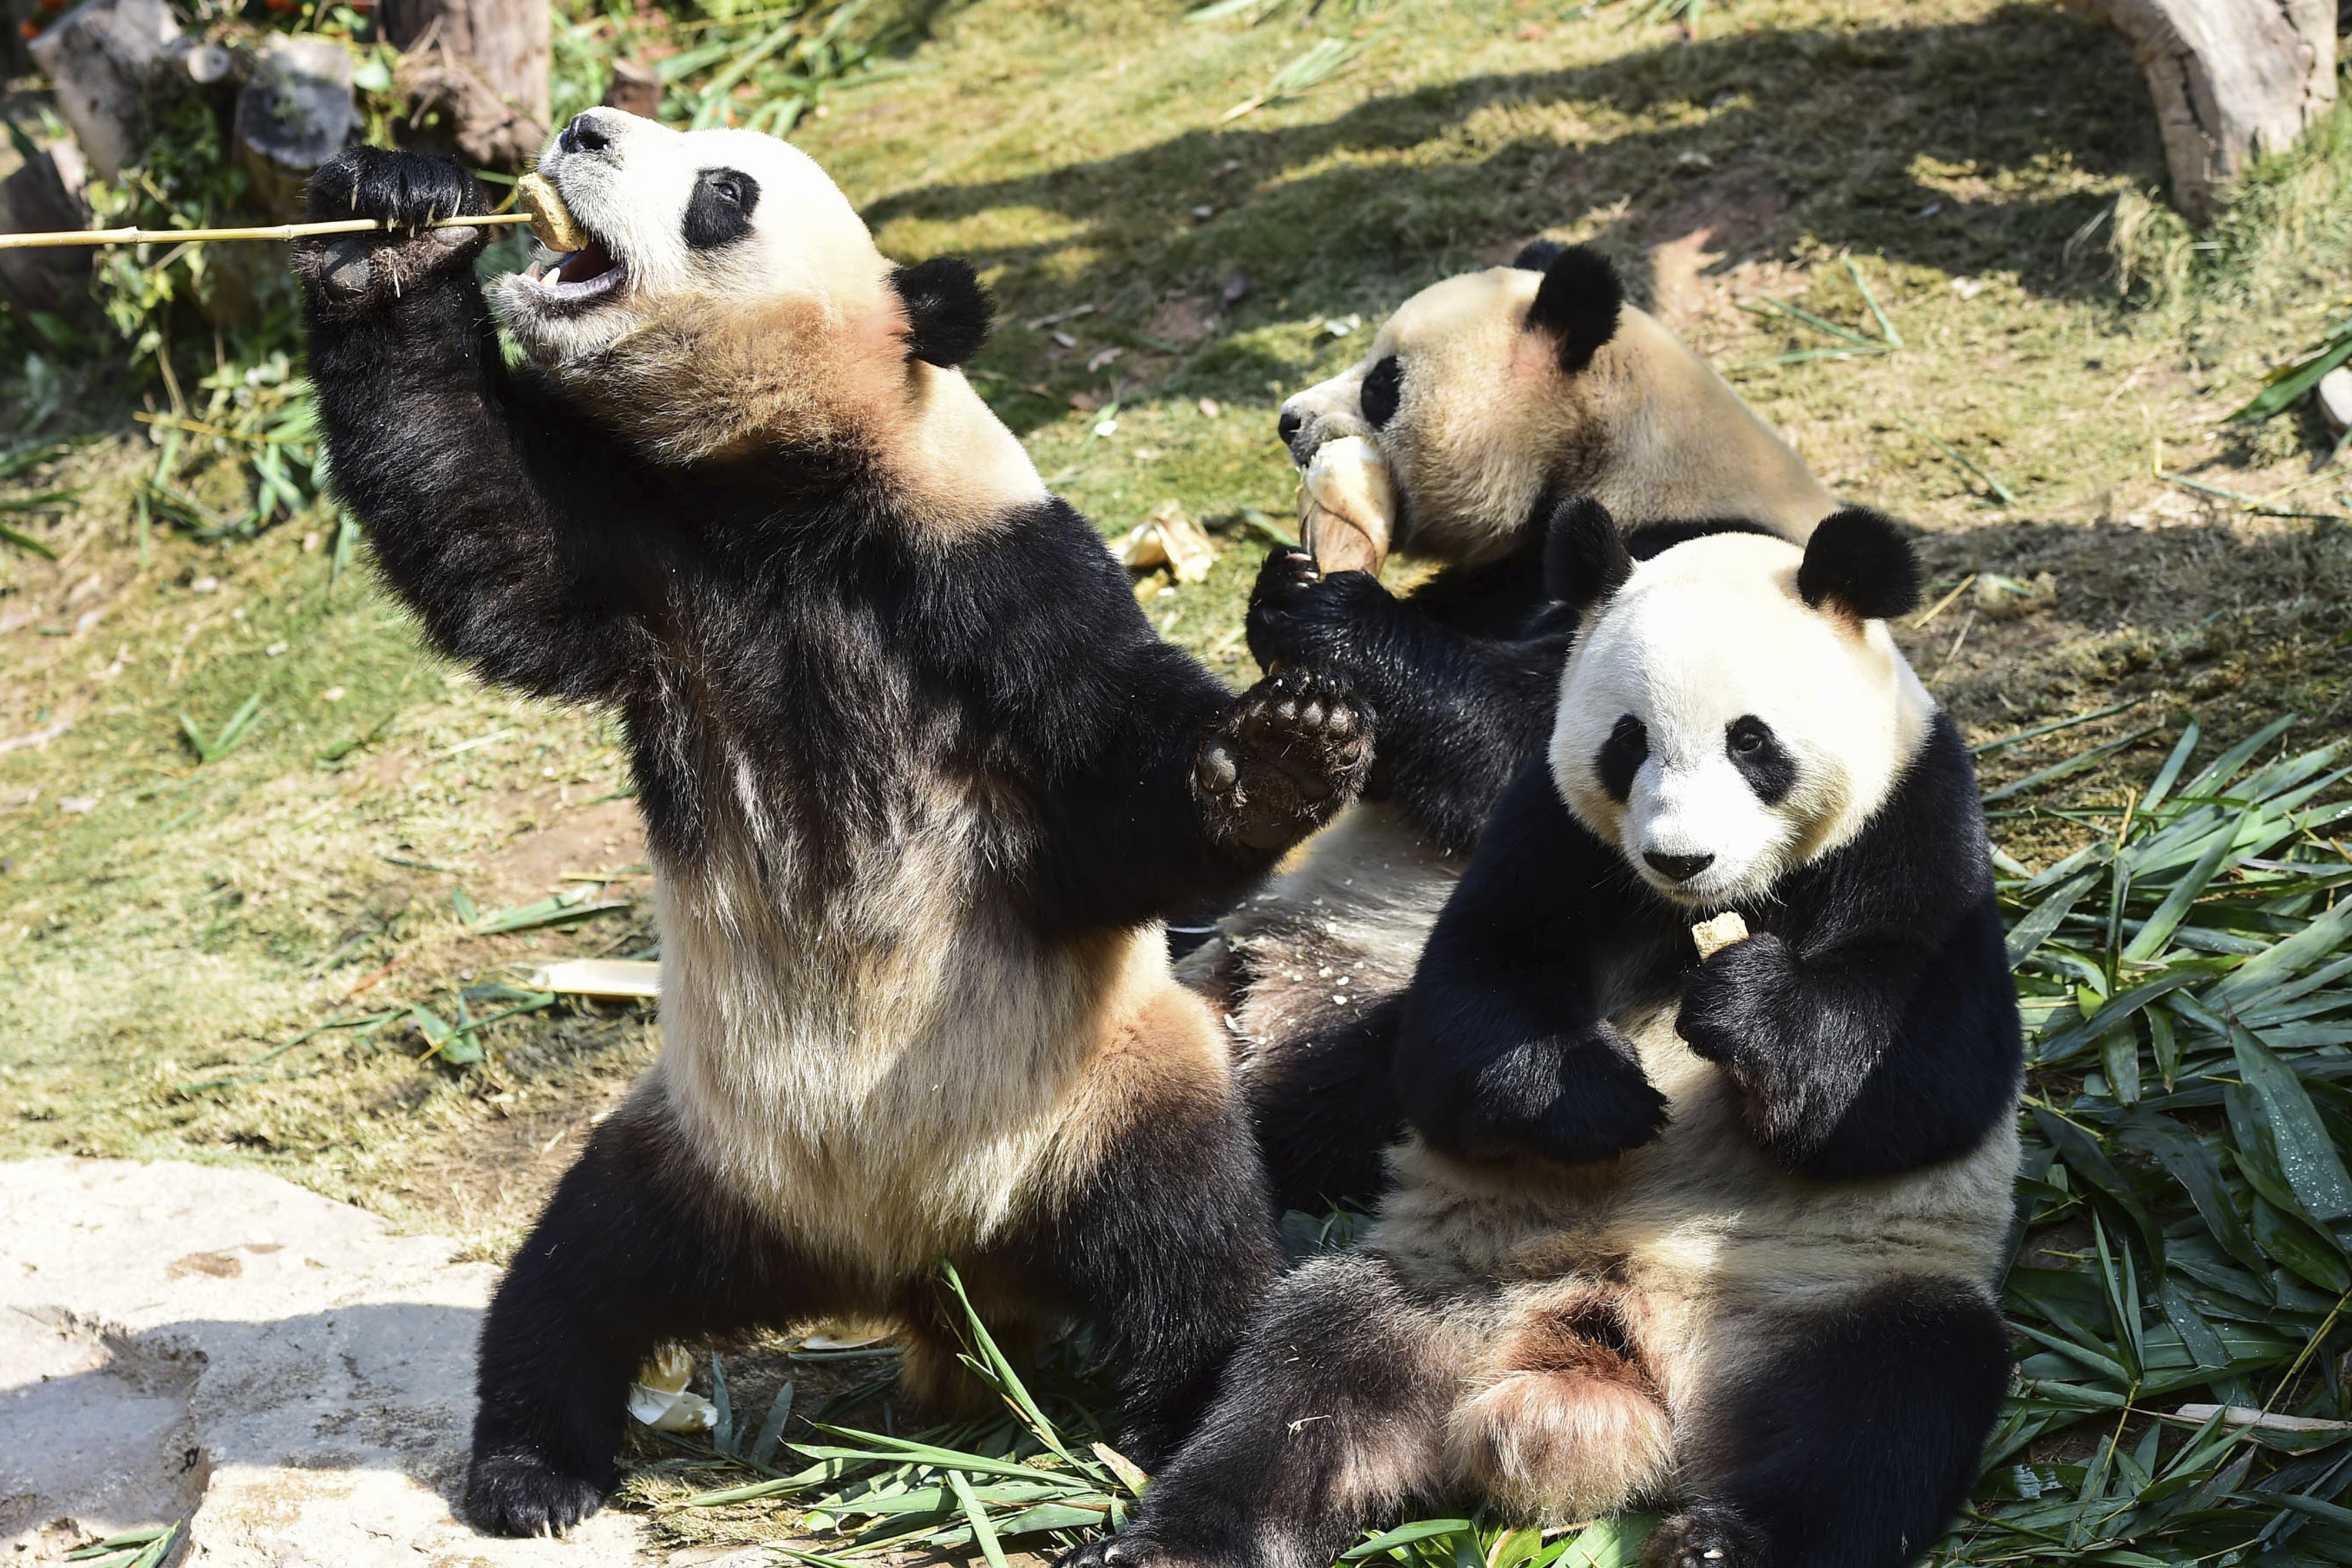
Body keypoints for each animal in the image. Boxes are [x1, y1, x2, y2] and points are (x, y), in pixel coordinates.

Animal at [292, 114, 1373, 1538]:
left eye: (722, 191)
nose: (581, 129)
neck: (797, 490)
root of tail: (920, 1269)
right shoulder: (652, 564)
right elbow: (477, 518)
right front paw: (395, 221)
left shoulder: (995, 581)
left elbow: (1116, 811)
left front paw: (1279, 748)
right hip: (706, 1155)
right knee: (572, 1278)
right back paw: (533, 1469)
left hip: (1098, 1098)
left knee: (1187, 1246)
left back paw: (1177, 1432)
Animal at [1065, 505, 2023, 1568]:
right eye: (1627, 742)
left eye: (1752, 743)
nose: (1679, 856)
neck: (1702, 908)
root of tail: (1604, 1345)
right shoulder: (1549, 827)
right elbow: (1461, 1007)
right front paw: (1597, 1093)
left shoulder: (1918, 817)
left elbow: (1932, 1067)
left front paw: (1747, 1003)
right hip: (1441, 1295)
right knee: (1298, 1388)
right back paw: (1178, 1538)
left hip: (1818, 1297)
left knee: (1888, 1410)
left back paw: (1721, 1543)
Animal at [1209, 241, 1839, 1211]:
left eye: (1384, 383)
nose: (1288, 420)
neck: (1630, 459)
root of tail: (1265, 992)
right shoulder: (1506, 574)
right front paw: (1285, 594)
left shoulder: (1693, 583)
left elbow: (1532, 754)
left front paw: (1326, 609)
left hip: (1388, 991)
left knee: (1344, 1090)